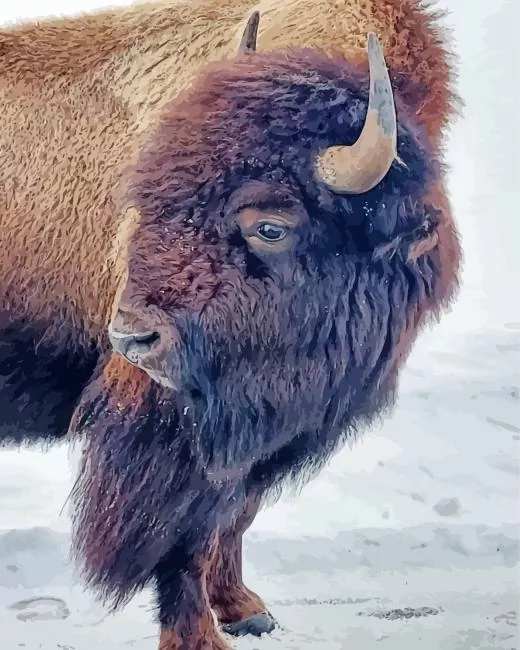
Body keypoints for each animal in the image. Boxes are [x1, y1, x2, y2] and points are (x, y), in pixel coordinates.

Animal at [0, 0, 461, 648]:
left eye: (270, 225)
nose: (132, 337)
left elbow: (235, 515)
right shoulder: (174, 427)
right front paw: (198, 636)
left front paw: (245, 609)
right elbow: (184, 537)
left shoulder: (269, 430)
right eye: (148, 200)